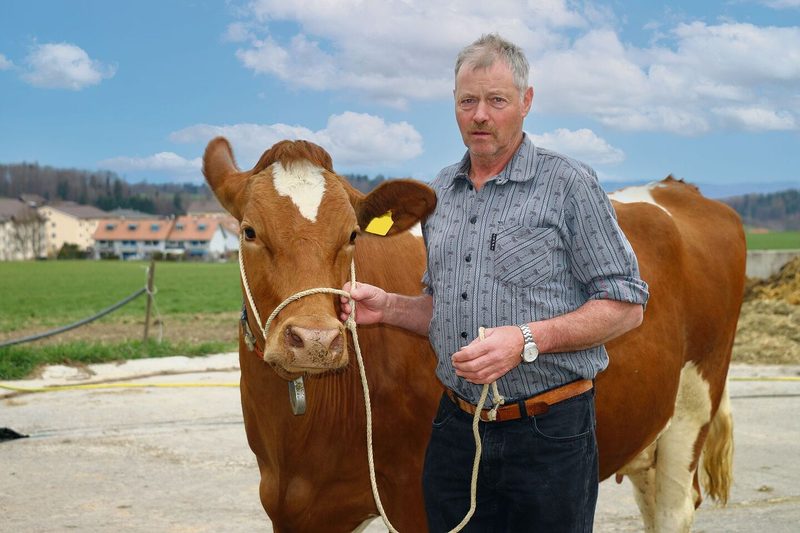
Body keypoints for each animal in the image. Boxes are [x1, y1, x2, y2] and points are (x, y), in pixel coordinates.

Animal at [203, 137, 745, 533]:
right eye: (249, 232)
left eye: (352, 236)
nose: (316, 341)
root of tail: (678, 189)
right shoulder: (298, 508)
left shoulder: (415, 501)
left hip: (692, 406)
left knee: (675, 505)